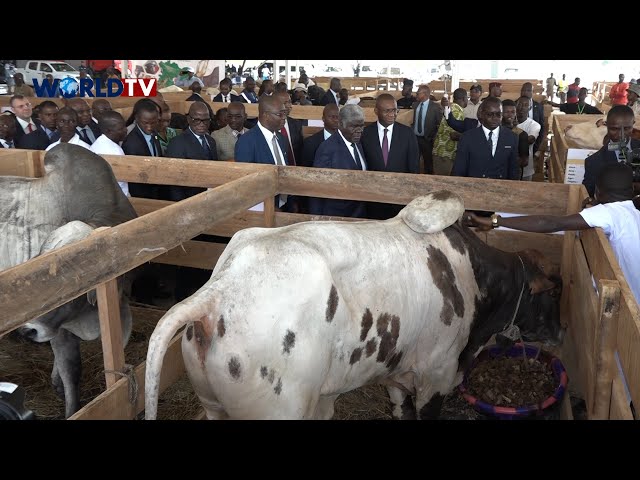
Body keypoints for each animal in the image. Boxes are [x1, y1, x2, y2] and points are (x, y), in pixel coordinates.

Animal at [144, 191, 560, 420]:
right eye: (552, 293)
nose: (559, 330)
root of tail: (221, 289)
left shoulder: (397, 373)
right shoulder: (437, 375)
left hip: (214, 406)